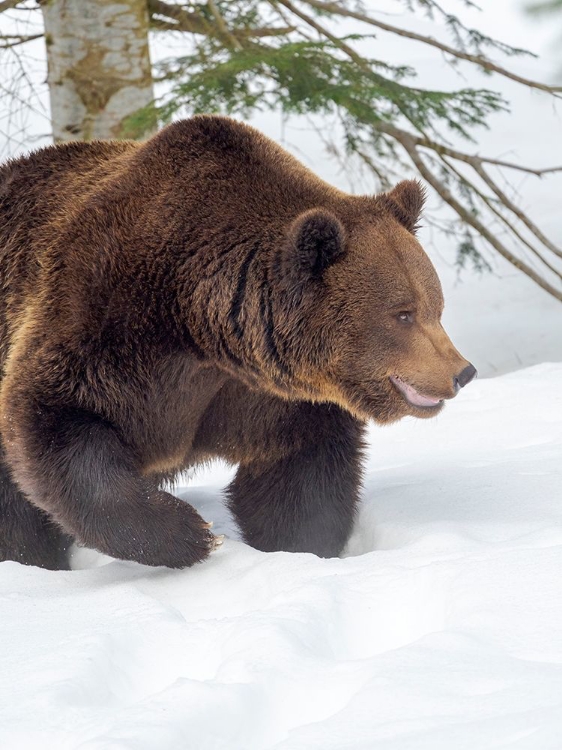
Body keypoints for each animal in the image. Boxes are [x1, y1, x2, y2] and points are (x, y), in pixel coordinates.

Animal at [0, 116, 472, 568]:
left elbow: (298, 478)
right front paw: (192, 535)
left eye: (436, 306)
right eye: (403, 313)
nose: (461, 372)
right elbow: (55, 421)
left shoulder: (264, 397)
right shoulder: (106, 321)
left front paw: (300, 548)